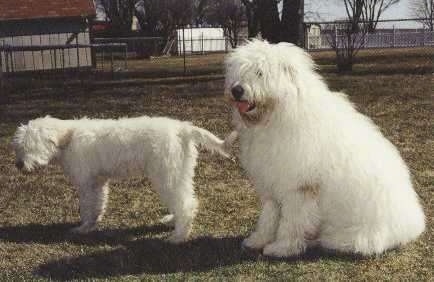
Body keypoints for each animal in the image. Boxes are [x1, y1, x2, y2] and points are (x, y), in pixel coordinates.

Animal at [11, 114, 231, 242]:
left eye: (30, 145)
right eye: (19, 146)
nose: (18, 165)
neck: (68, 137)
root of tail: (182, 128)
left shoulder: (86, 184)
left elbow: (87, 207)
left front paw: (82, 228)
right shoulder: (97, 183)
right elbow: (98, 204)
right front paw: (92, 224)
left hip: (167, 175)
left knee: (186, 204)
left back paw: (178, 236)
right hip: (179, 173)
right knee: (186, 200)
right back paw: (173, 221)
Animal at [225, 39, 426, 258]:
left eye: (260, 73)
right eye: (241, 71)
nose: (236, 90)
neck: (282, 113)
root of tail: (413, 225)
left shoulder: (299, 187)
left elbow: (291, 222)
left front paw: (282, 247)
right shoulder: (272, 184)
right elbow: (268, 217)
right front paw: (258, 240)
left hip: (359, 232)